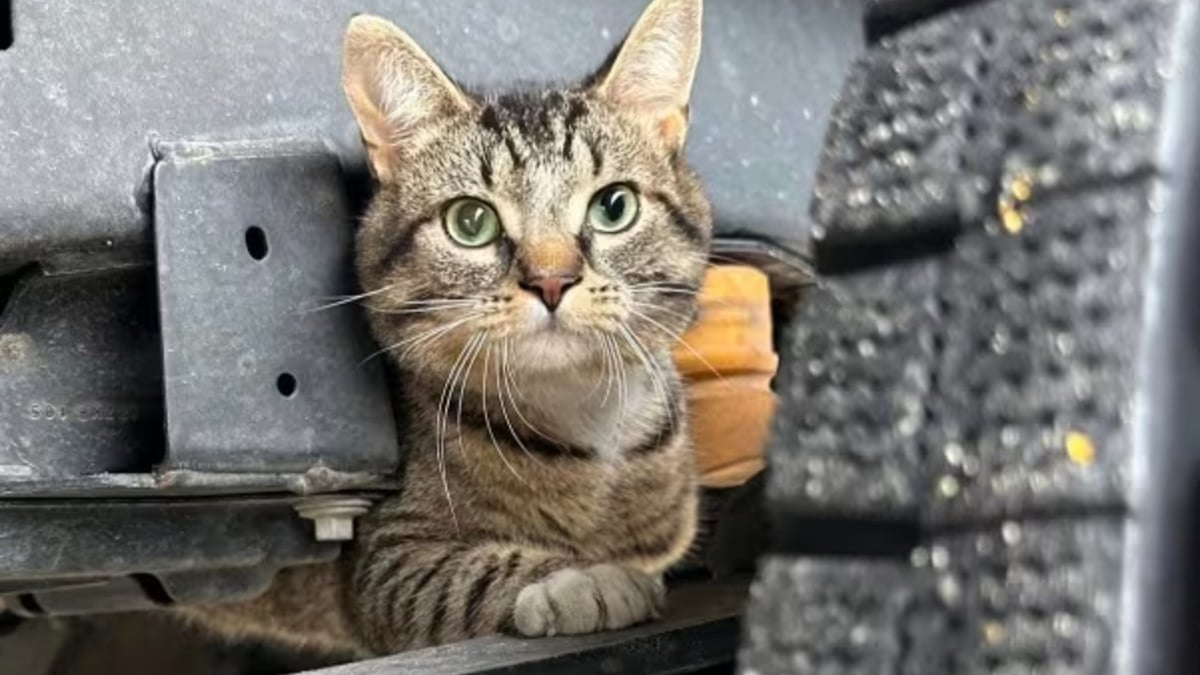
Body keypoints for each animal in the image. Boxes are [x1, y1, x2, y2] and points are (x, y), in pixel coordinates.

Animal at [182, 0, 705, 653]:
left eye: (614, 207)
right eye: (471, 221)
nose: (551, 280)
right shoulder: (387, 558)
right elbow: (472, 573)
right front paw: (581, 579)